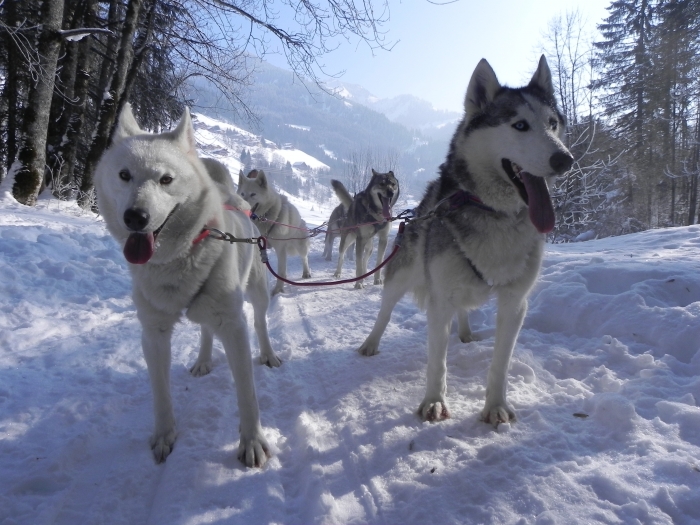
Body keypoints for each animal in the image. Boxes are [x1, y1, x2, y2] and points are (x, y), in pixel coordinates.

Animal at [358, 56, 572, 426]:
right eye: (519, 125)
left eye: (552, 123)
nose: (565, 159)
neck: (495, 214)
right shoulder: (439, 301)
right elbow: (437, 362)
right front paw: (433, 401)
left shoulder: (515, 303)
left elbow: (500, 364)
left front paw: (495, 406)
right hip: (401, 276)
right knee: (385, 311)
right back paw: (371, 343)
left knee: (462, 312)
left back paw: (467, 333)